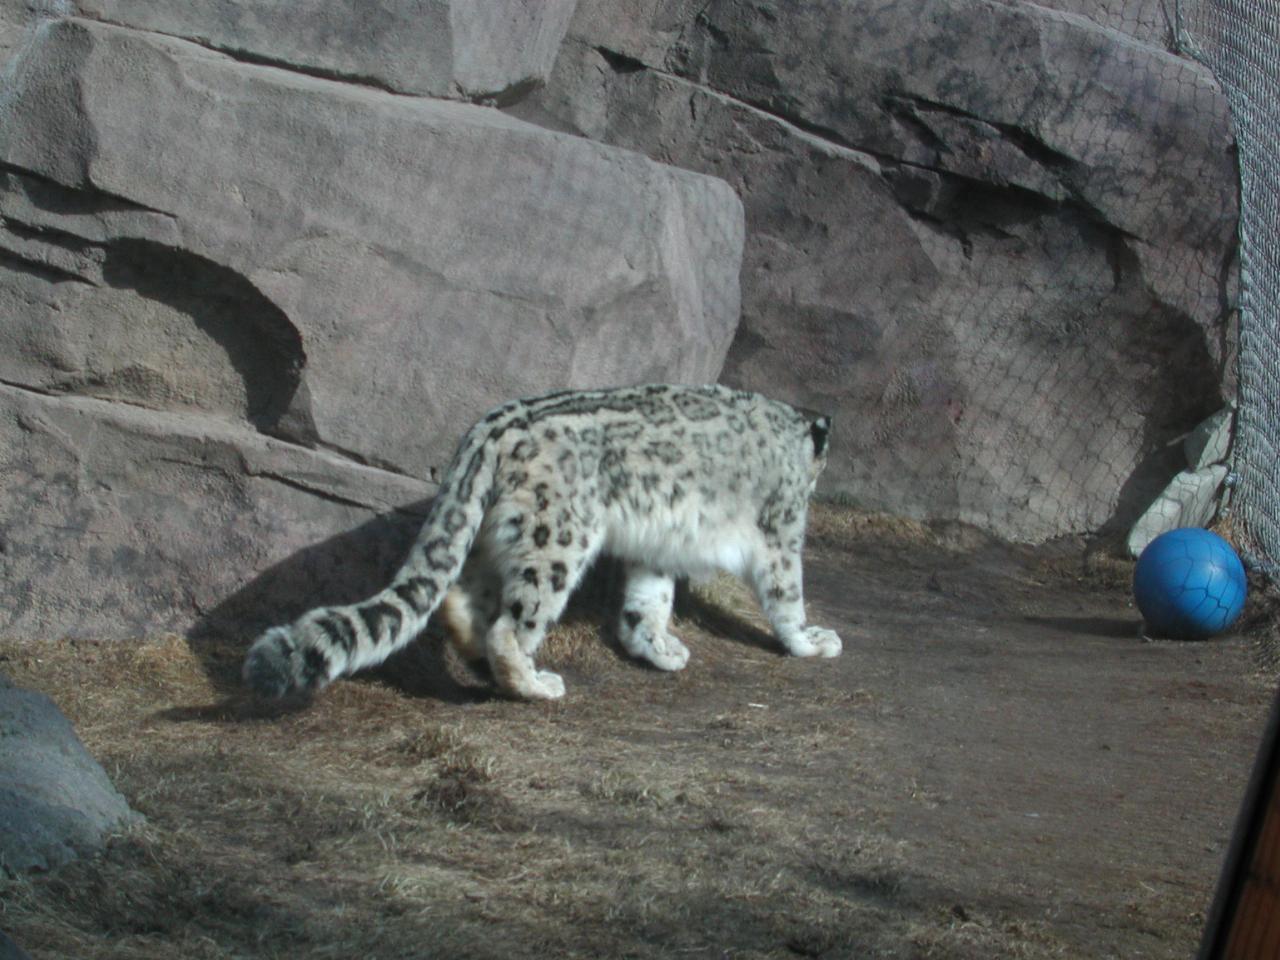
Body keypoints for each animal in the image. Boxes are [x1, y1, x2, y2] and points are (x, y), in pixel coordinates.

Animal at [241, 381, 839, 701]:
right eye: (815, 477)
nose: (818, 483)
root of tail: (487, 431)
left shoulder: (655, 548)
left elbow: (648, 600)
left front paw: (660, 647)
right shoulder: (782, 528)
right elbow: (786, 591)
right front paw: (810, 640)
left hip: (496, 531)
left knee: (463, 597)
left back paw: (477, 651)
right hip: (559, 539)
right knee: (513, 622)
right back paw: (532, 682)